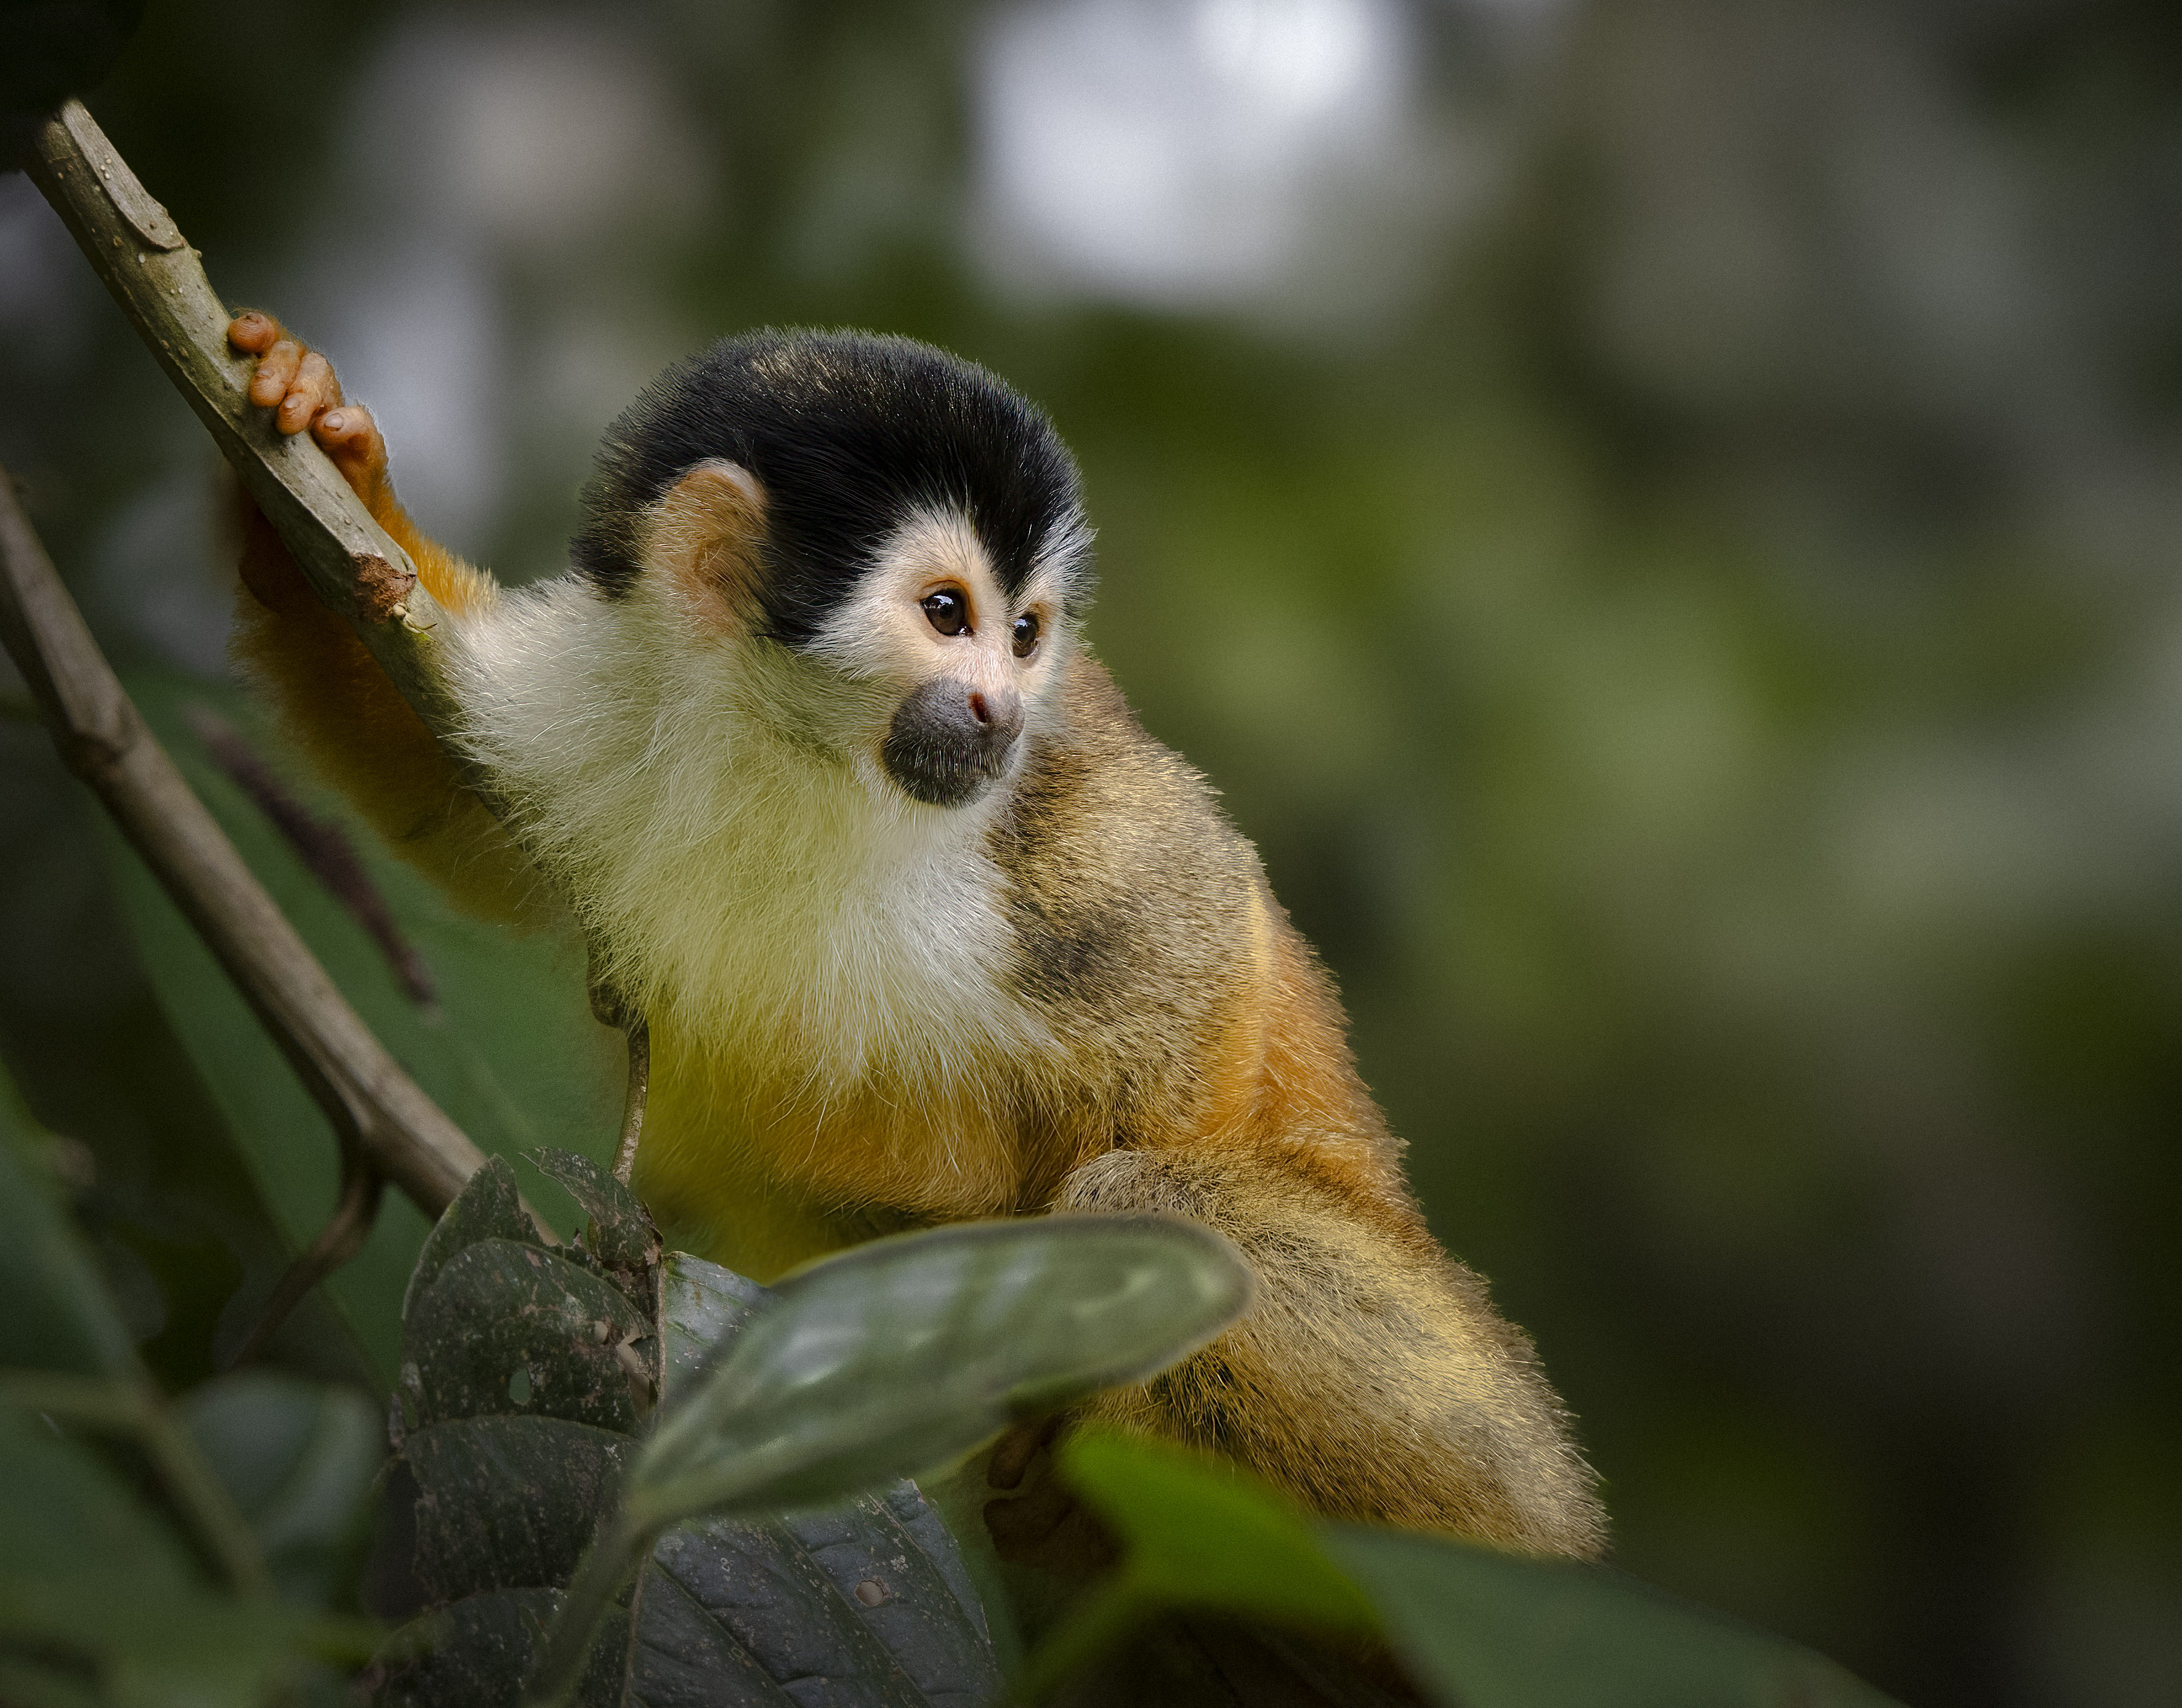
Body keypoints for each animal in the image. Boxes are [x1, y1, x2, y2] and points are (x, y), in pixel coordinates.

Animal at [221, 310, 1608, 1563]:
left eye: (1025, 632)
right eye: (947, 612)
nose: (998, 704)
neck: (798, 756)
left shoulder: (1056, 824)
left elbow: (1196, 954)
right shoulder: (600, 695)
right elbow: (455, 802)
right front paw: (317, 449)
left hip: (1486, 1448)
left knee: (1160, 1200)